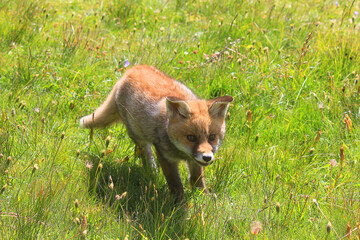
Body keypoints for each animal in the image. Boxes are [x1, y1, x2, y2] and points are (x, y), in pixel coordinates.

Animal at [80, 64, 233, 202]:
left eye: (212, 137)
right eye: (191, 137)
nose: (207, 157)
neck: (181, 153)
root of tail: (132, 69)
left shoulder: (194, 160)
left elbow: (196, 180)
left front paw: (204, 198)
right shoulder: (165, 156)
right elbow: (175, 184)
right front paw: (179, 204)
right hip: (137, 135)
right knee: (144, 152)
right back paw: (151, 169)